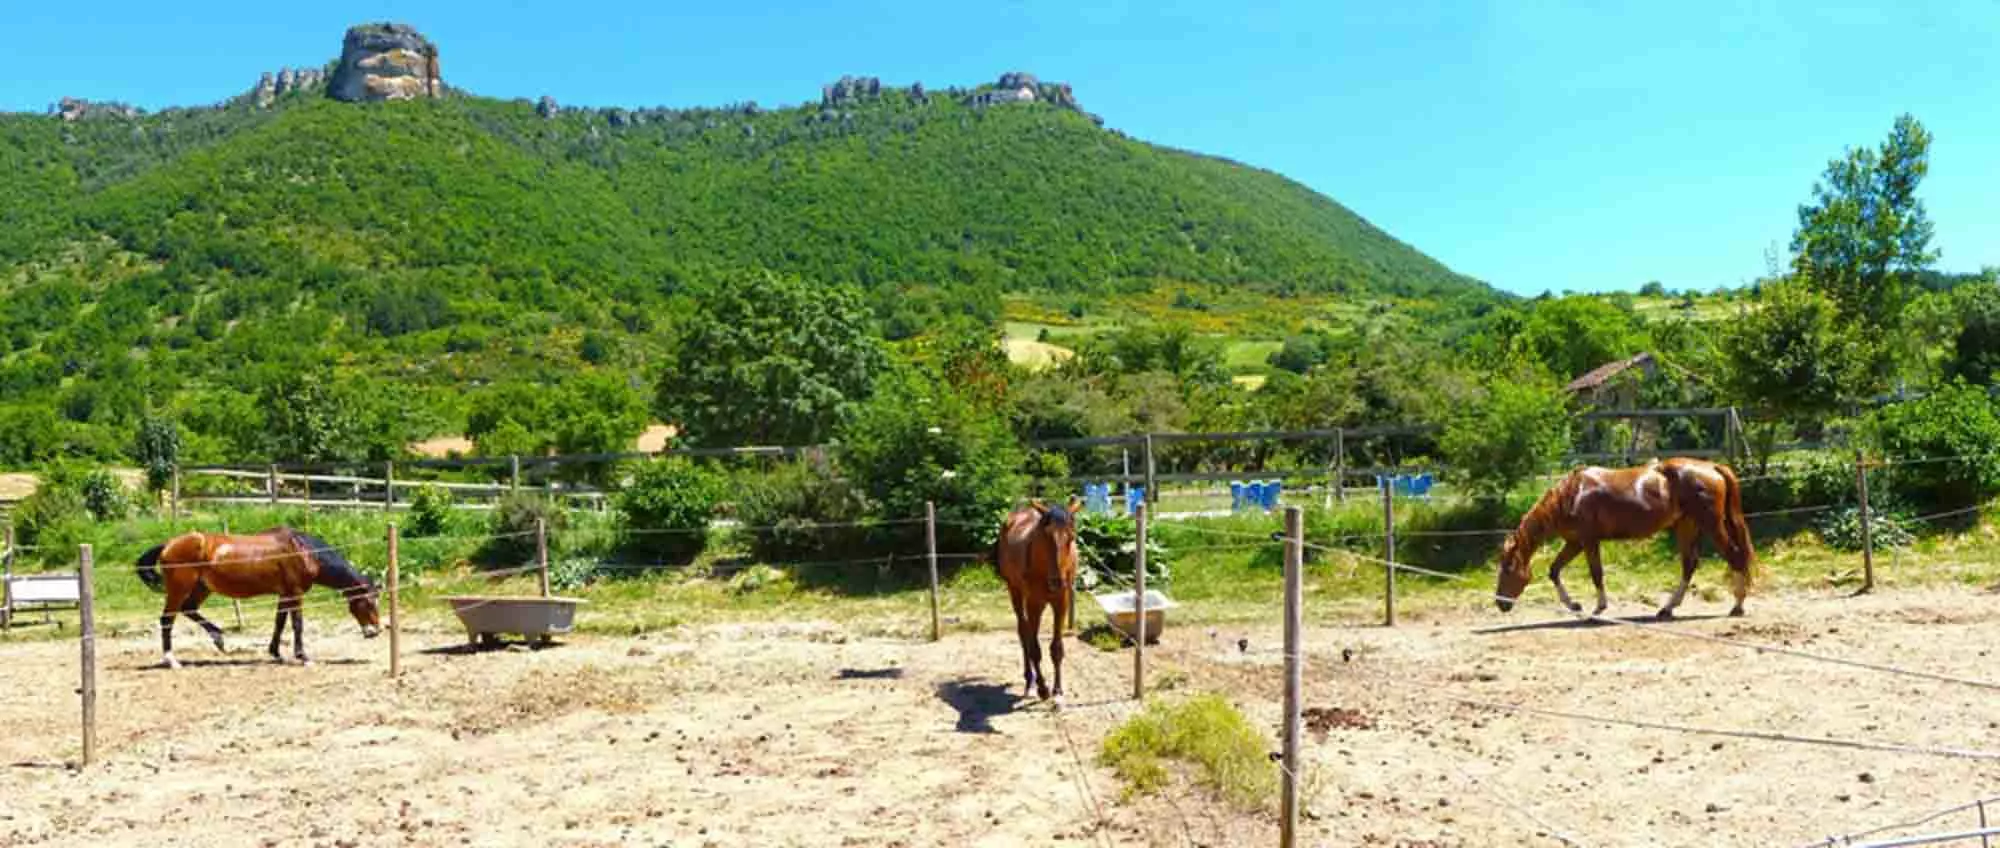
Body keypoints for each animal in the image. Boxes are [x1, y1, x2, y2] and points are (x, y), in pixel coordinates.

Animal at [136, 524, 382, 668]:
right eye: (369, 603)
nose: (375, 631)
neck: (302, 550)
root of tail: (168, 544)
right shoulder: (295, 594)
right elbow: (297, 624)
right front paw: (303, 657)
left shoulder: (284, 595)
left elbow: (279, 623)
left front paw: (276, 654)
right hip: (179, 589)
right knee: (167, 619)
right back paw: (172, 660)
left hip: (201, 588)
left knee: (189, 609)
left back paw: (219, 638)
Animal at [996, 496, 1080, 704]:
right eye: (1045, 537)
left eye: (1071, 537)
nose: (1057, 581)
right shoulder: (1034, 604)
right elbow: (1034, 648)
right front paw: (1043, 689)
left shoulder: (1061, 603)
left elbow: (1056, 648)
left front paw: (1057, 690)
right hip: (1015, 591)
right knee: (1023, 632)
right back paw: (1029, 680)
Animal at [1496, 460, 1760, 620]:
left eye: (1508, 569)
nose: (1500, 603)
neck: (1573, 494)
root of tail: (1712, 467)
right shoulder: (1575, 543)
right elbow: (1554, 570)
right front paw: (1574, 606)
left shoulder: (1588, 541)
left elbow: (1596, 573)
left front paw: (1599, 608)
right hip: (1687, 526)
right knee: (1690, 564)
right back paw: (1667, 608)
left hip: (1710, 525)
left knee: (1734, 556)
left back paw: (1737, 606)